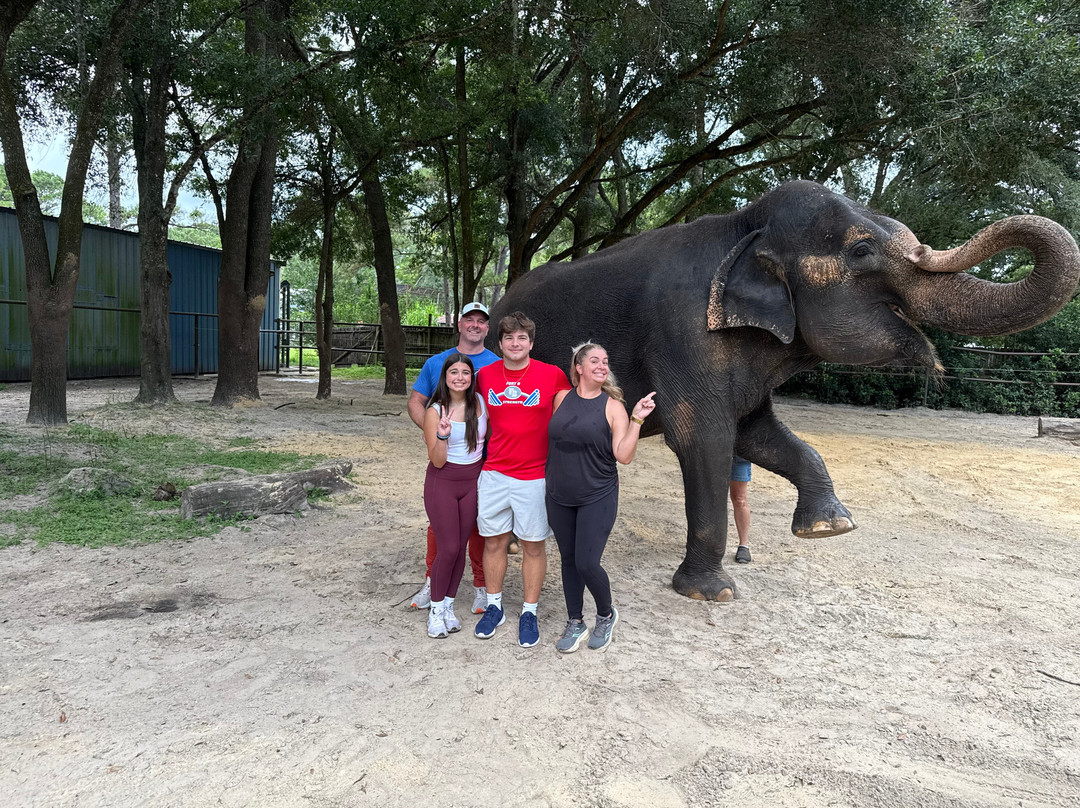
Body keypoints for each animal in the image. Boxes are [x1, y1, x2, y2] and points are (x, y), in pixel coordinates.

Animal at [488, 180, 1080, 601]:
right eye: (862, 250)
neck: (746, 227)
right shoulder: (682, 331)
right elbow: (703, 438)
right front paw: (712, 593)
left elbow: (759, 433)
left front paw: (829, 528)